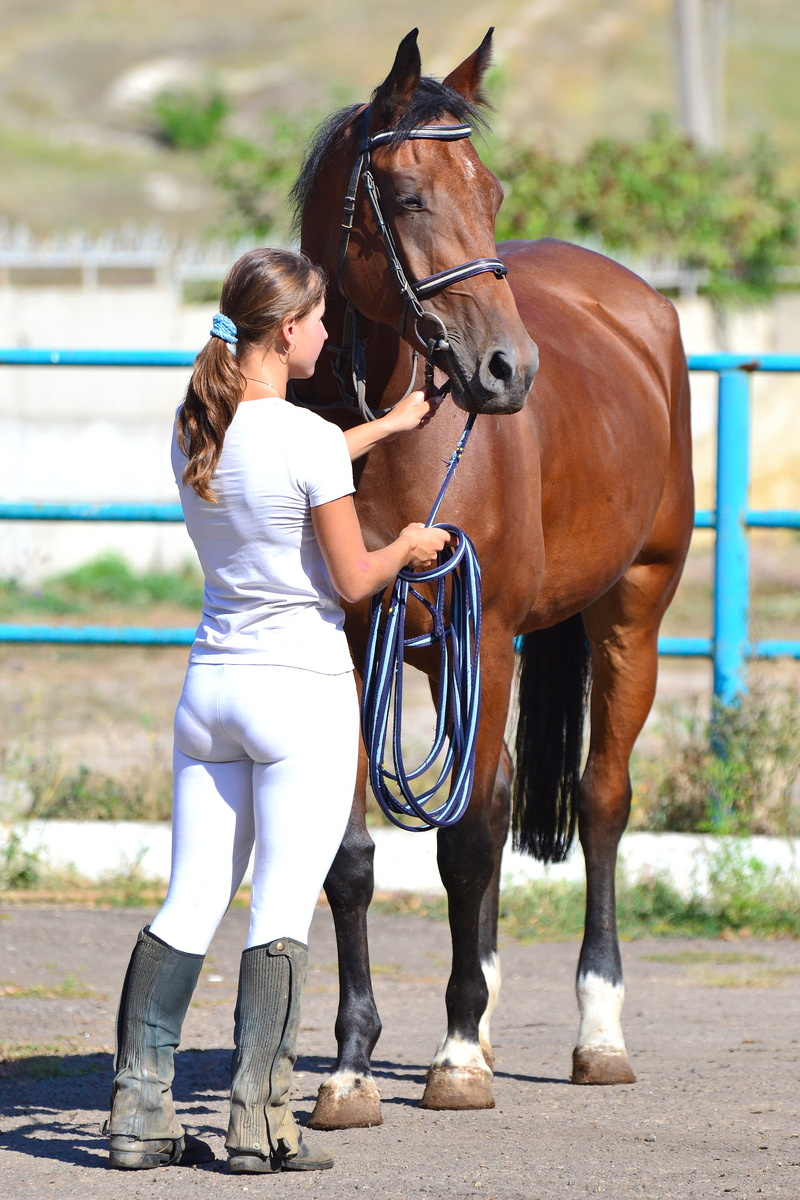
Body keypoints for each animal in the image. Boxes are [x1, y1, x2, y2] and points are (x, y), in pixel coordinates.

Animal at [289, 28, 694, 1127]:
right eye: (408, 195)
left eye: (494, 191)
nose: (508, 370)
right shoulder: (360, 642)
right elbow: (352, 859)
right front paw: (351, 1063)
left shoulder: (493, 631)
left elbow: (467, 841)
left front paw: (460, 1057)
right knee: (507, 789)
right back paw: (484, 987)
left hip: (627, 615)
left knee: (599, 802)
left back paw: (594, 1030)